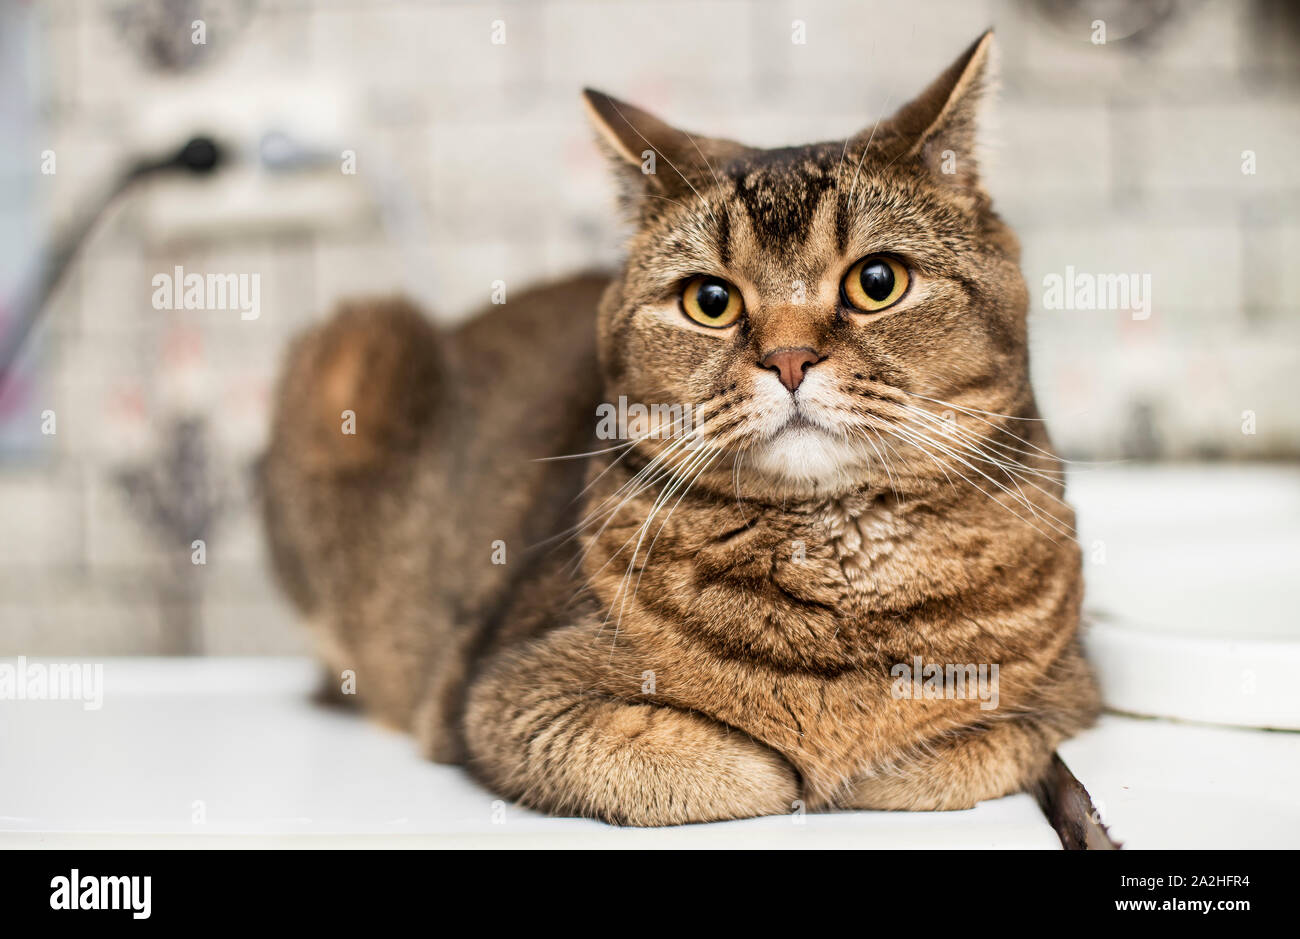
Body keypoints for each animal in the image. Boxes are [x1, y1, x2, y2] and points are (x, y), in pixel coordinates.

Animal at [261, 27, 1097, 821]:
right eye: (711, 301)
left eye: (878, 281)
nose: (789, 358)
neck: (833, 568)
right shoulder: (500, 695)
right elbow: (718, 765)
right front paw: (796, 767)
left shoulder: (1069, 693)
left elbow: (963, 748)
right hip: (356, 346)